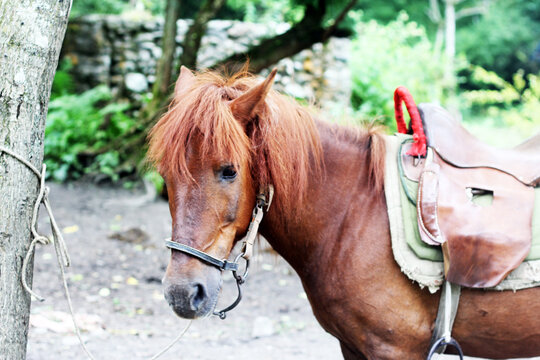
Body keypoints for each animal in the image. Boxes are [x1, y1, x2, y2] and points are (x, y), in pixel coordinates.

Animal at [147, 66, 540, 358]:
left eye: (229, 170)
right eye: (166, 175)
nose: (182, 293)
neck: (353, 213)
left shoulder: (393, 350)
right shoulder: (352, 347)